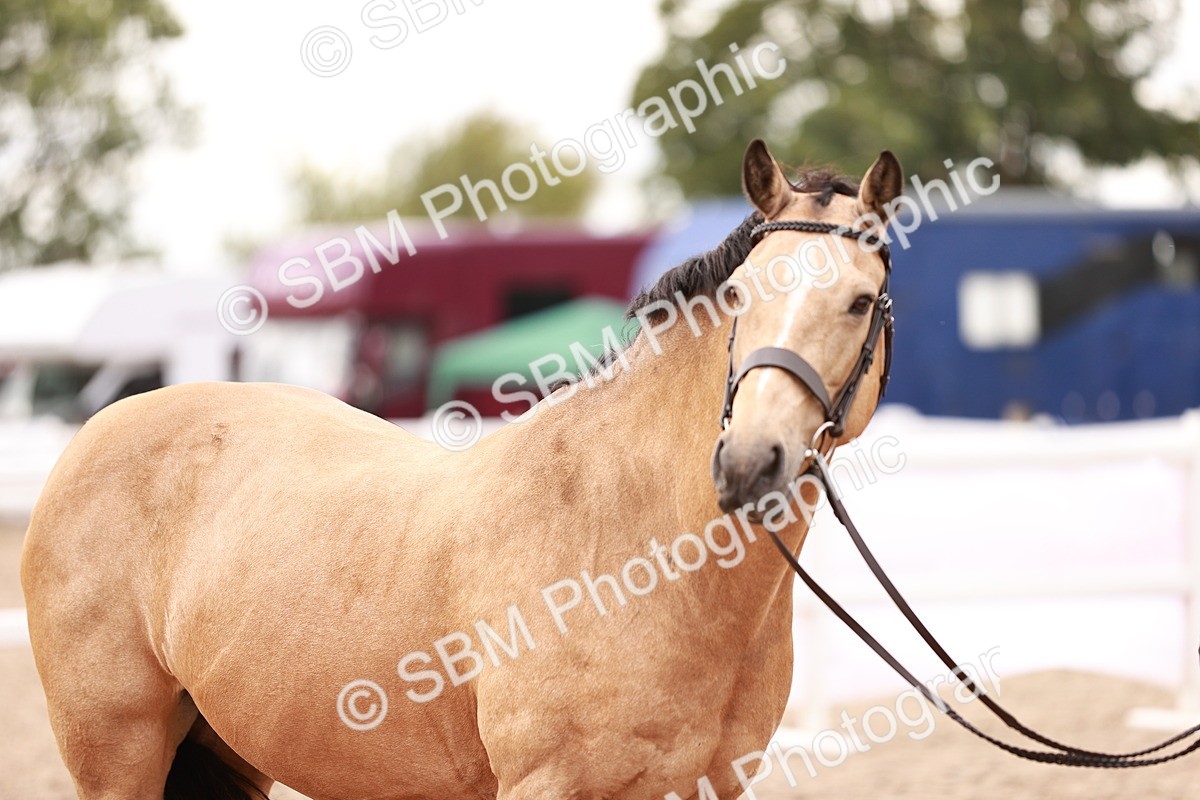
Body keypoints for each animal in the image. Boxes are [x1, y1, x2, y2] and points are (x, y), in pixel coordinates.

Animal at [21, 139, 903, 800]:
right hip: (117, 761)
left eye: (862, 301)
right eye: (744, 295)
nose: (751, 462)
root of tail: (98, 430)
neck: (633, 550)